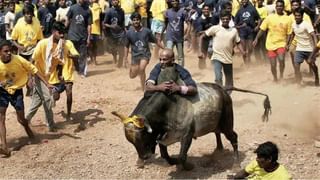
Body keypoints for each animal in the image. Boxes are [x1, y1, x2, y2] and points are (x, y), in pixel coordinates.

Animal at [111, 67, 272, 170]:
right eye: (131, 142)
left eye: (144, 136)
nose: (144, 156)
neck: (168, 107)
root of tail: (222, 89)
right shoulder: (162, 137)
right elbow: (165, 155)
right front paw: (173, 161)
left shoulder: (186, 135)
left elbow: (182, 156)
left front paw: (187, 166)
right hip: (216, 123)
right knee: (217, 133)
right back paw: (219, 149)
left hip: (227, 123)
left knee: (233, 137)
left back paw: (236, 164)